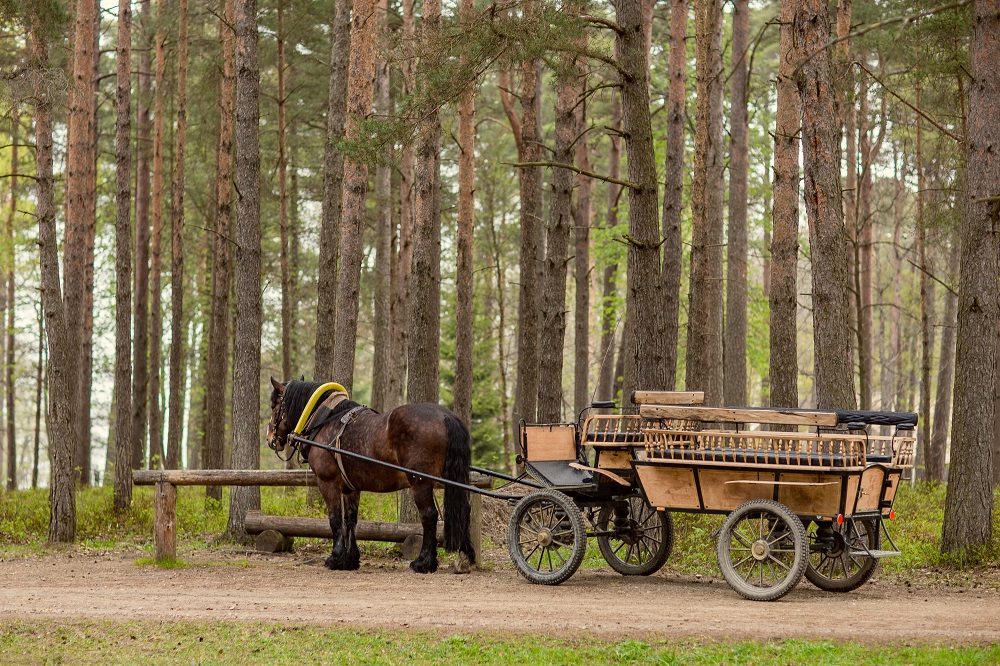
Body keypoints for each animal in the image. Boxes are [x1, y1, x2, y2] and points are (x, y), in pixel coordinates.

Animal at [266, 376, 476, 572]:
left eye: (273, 406)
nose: (270, 439)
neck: (325, 421)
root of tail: (445, 415)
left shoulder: (327, 483)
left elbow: (335, 519)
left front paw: (335, 558)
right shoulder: (350, 488)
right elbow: (350, 520)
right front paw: (350, 559)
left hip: (420, 482)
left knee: (429, 516)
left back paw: (424, 562)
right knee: (462, 511)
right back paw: (464, 556)